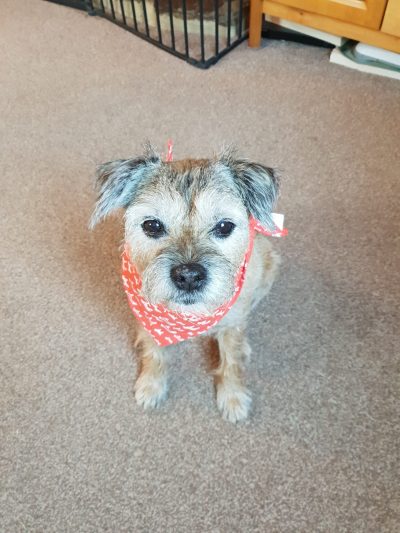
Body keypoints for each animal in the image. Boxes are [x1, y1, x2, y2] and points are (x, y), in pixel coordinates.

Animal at [91, 143, 282, 422]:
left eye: (224, 226)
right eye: (152, 225)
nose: (189, 276)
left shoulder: (233, 321)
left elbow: (232, 360)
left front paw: (233, 396)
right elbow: (155, 352)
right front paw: (152, 384)